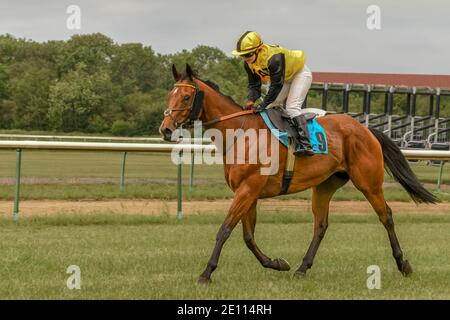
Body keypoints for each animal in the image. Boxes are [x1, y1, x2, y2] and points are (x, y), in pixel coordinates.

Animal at [159, 63, 436, 284]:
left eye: (186, 97)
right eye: (170, 95)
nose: (165, 129)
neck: (240, 132)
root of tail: (366, 130)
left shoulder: (247, 190)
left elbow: (225, 230)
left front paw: (206, 273)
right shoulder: (248, 193)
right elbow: (248, 237)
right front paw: (277, 263)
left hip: (369, 183)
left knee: (386, 216)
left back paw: (403, 264)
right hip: (324, 186)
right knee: (321, 225)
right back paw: (302, 268)